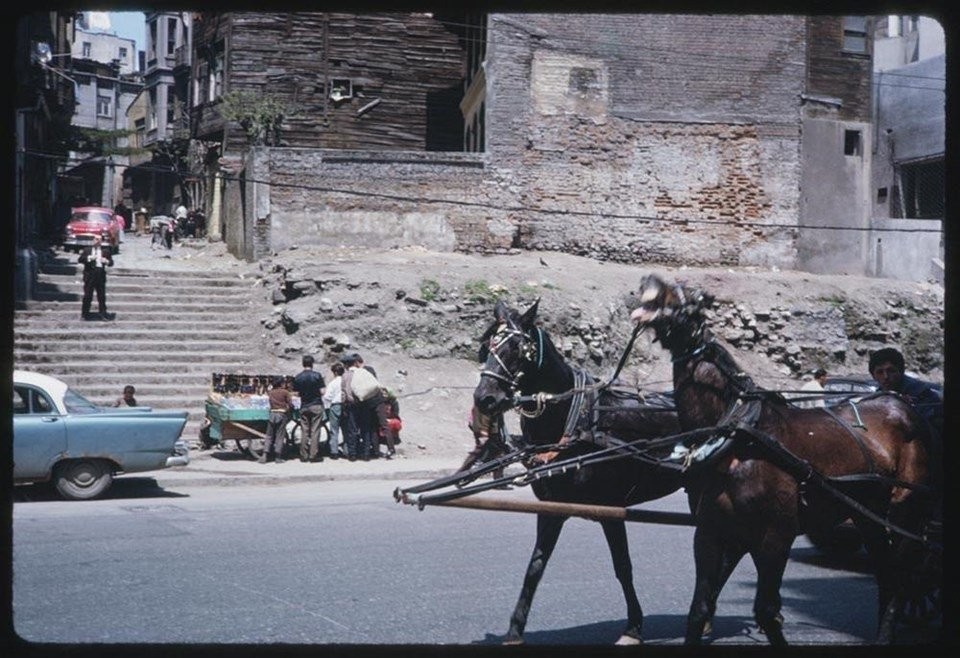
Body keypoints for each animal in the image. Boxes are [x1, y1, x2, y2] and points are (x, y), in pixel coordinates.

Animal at [632, 274, 936, 644]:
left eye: (687, 298)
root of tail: (904, 406)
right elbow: (700, 609)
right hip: (869, 514)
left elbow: (767, 611)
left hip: (907, 509)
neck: (738, 436)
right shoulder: (710, 530)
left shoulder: (777, 533)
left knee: (903, 572)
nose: (649, 279)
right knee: (886, 571)